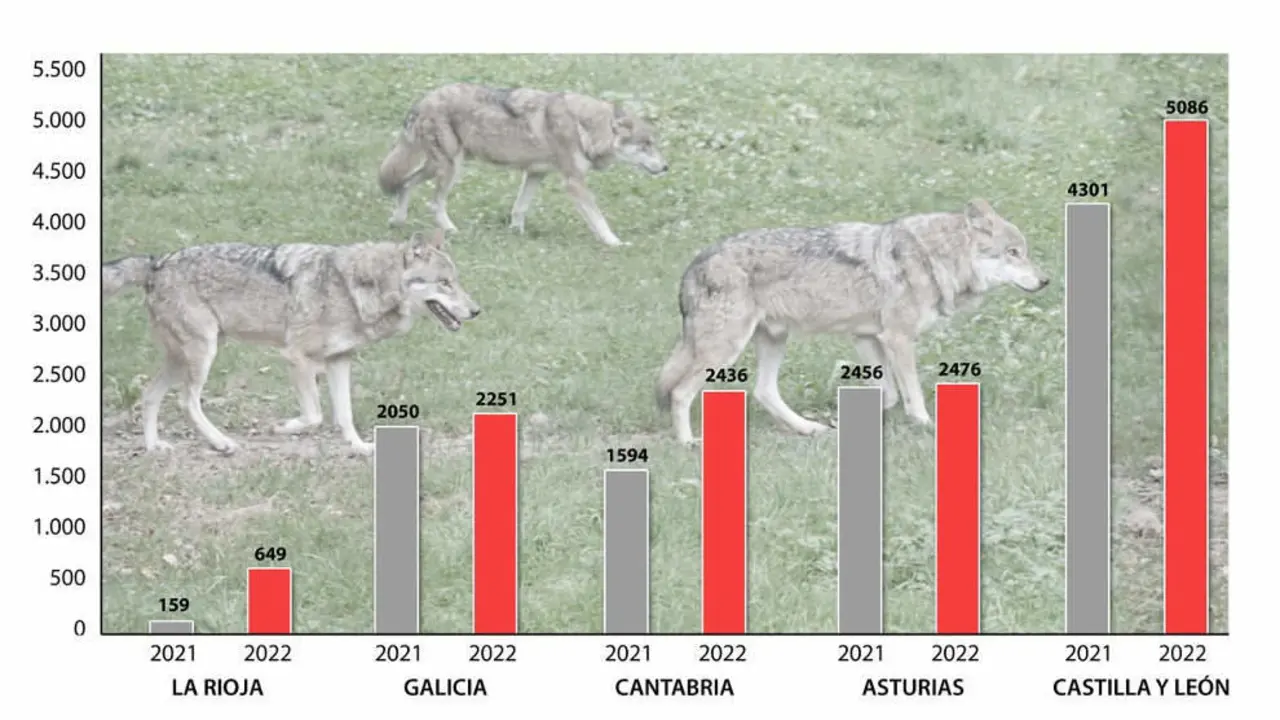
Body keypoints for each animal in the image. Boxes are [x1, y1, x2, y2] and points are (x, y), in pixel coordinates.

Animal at [102, 229, 481, 456]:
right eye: (445, 283)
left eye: (456, 281)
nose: (477, 311)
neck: (356, 289)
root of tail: (156, 262)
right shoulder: (296, 357)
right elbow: (314, 416)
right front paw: (283, 427)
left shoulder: (339, 360)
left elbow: (344, 414)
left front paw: (359, 448)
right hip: (202, 355)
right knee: (187, 401)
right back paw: (223, 442)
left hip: (181, 358)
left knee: (150, 395)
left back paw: (154, 447)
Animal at [378, 82, 669, 247]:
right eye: (646, 145)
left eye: (653, 143)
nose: (666, 167)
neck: (584, 126)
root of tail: (421, 101)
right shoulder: (574, 183)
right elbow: (599, 219)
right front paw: (614, 243)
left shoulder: (535, 174)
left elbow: (520, 208)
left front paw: (515, 233)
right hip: (451, 169)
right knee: (433, 202)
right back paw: (451, 231)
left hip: (437, 167)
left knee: (405, 184)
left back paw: (397, 220)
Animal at [654, 199, 1051, 444]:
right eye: (1013, 253)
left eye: (1025, 252)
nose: (1045, 280)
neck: (933, 258)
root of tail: (694, 264)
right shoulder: (897, 339)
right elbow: (912, 394)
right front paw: (924, 424)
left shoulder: (866, 337)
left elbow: (889, 393)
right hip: (725, 351)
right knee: (680, 392)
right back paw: (688, 442)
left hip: (773, 340)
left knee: (764, 391)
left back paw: (809, 429)